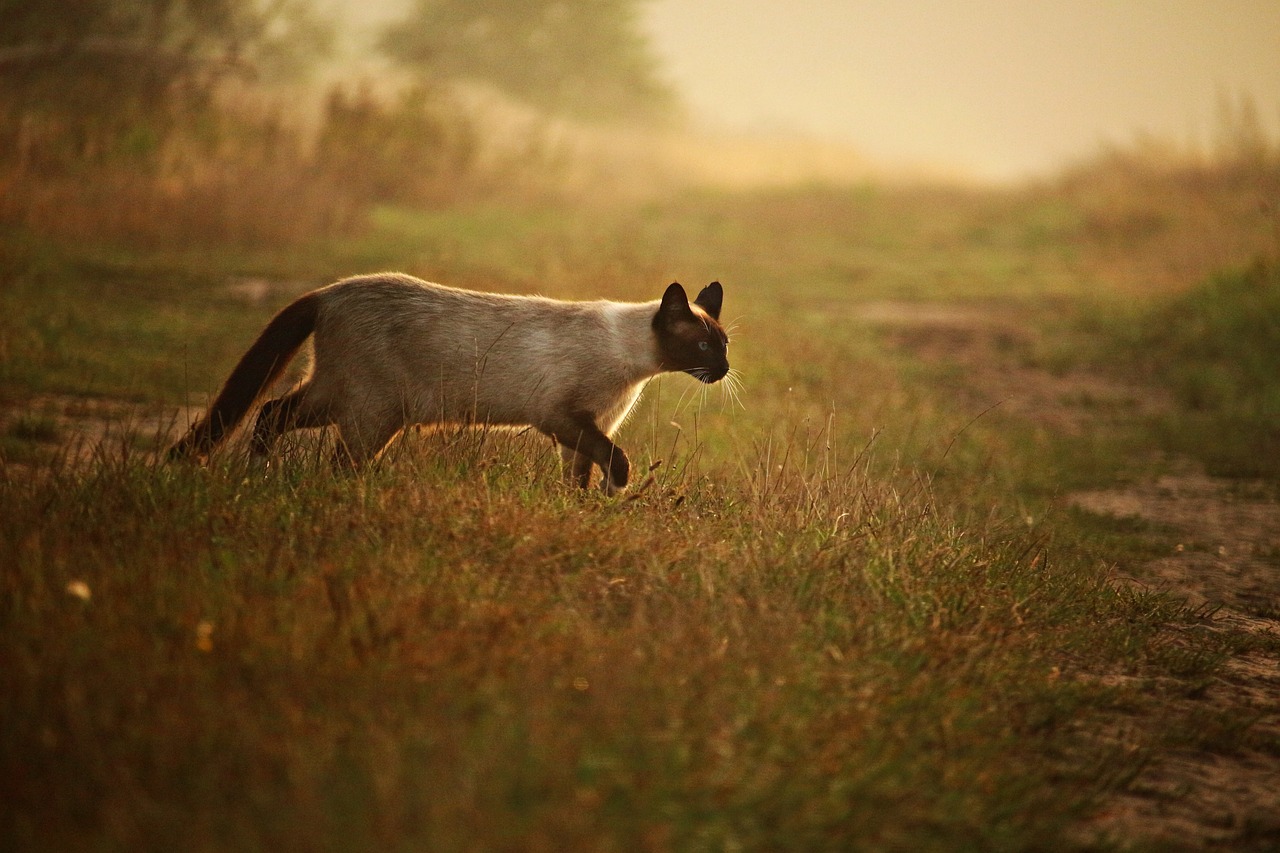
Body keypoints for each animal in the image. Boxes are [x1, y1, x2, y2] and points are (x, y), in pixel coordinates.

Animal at [170, 274, 732, 491]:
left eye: (725, 344)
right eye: (705, 348)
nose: (725, 370)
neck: (633, 364)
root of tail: (330, 291)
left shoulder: (585, 429)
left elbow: (579, 476)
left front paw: (584, 509)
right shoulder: (562, 419)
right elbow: (616, 459)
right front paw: (618, 489)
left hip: (336, 396)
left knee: (272, 413)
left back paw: (258, 472)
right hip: (373, 414)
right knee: (336, 460)